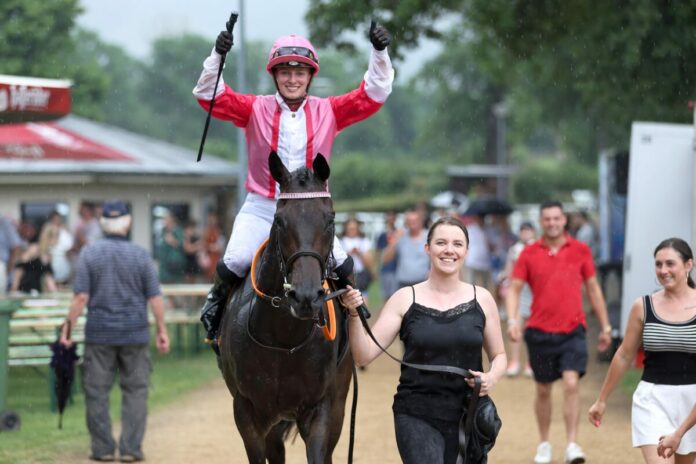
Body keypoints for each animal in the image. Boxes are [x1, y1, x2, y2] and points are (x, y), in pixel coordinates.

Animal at [219, 152, 354, 464]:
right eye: (279, 220)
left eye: (331, 219)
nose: (305, 296)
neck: (284, 339)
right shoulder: (247, 413)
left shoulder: (320, 411)